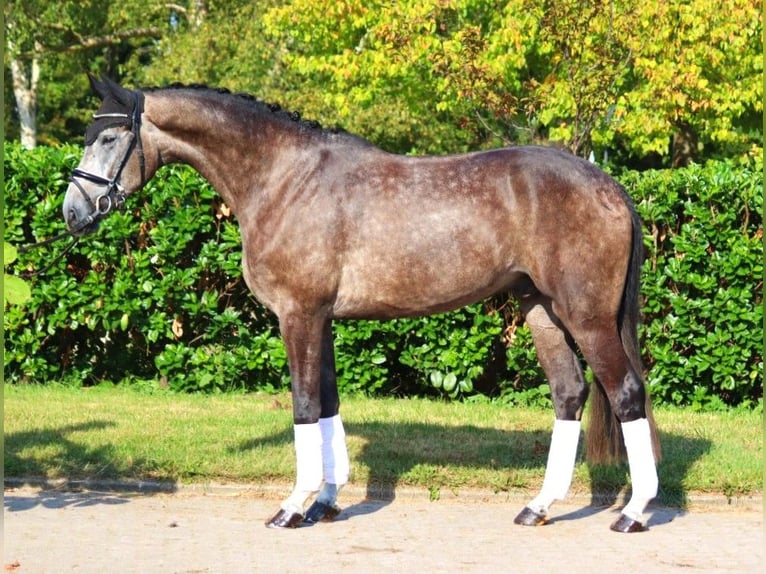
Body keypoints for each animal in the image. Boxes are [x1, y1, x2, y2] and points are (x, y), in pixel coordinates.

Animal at [63, 75, 660, 536]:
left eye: (110, 136)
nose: (72, 213)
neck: (283, 178)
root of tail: (607, 185)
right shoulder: (321, 319)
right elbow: (328, 401)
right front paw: (326, 502)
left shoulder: (299, 315)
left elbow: (304, 404)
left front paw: (292, 507)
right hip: (541, 309)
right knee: (570, 392)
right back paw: (538, 507)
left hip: (587, 316)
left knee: (626, 392)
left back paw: (633, 512)